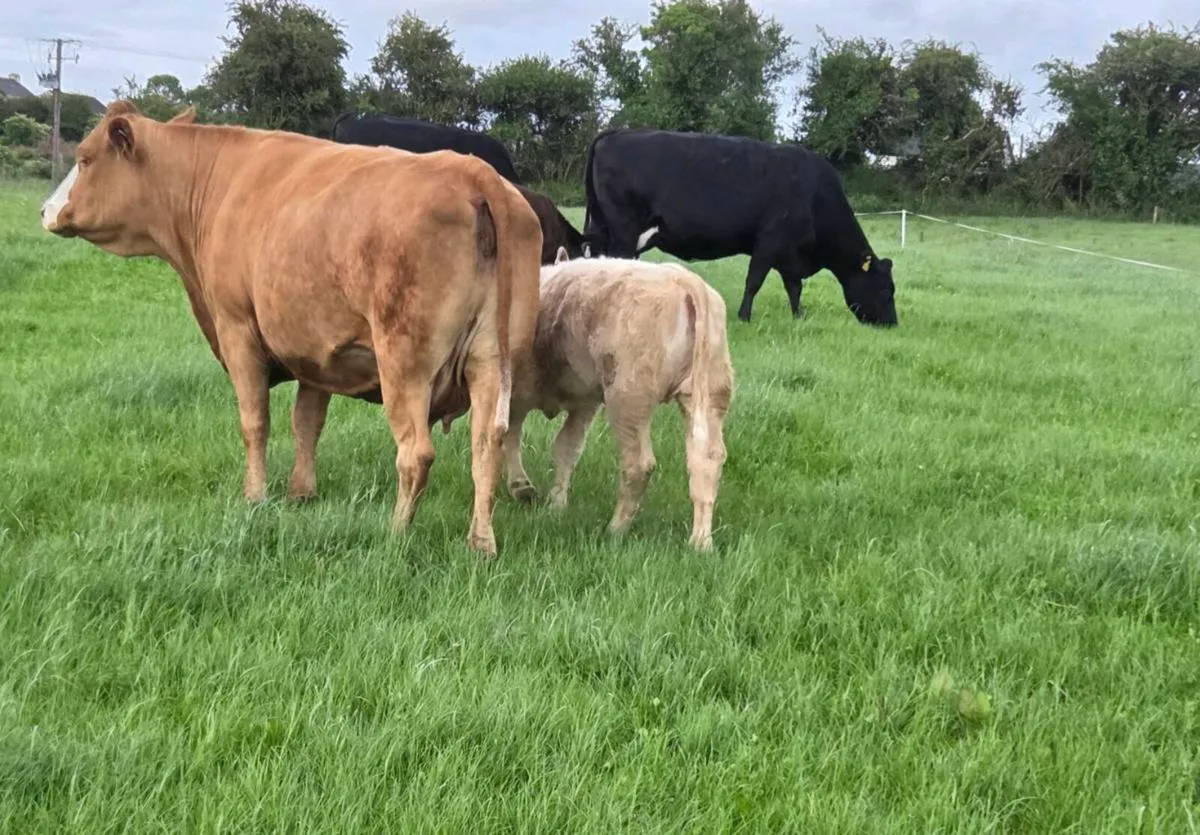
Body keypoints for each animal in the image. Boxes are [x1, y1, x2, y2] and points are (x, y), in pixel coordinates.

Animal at [498, 248, 734, 551]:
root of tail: (684, 281)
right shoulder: (585, 402)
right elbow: (566, 448)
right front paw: (556, 506)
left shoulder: (518, 393)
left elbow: (511, 436)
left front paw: (522, 488)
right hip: (709, 392)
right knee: (707, 458)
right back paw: (700, 543)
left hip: (628, 398)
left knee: (639, 464)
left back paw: (616, 529)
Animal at [581, 127, 898, 326]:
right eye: (886, 290)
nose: (892, 324)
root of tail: (616, 132)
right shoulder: (769, 241)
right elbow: (754, 281)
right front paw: (744, 316)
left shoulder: (789, 253)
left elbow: (794, 287)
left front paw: (799, 316)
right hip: (624, 231)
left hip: (602, 227)